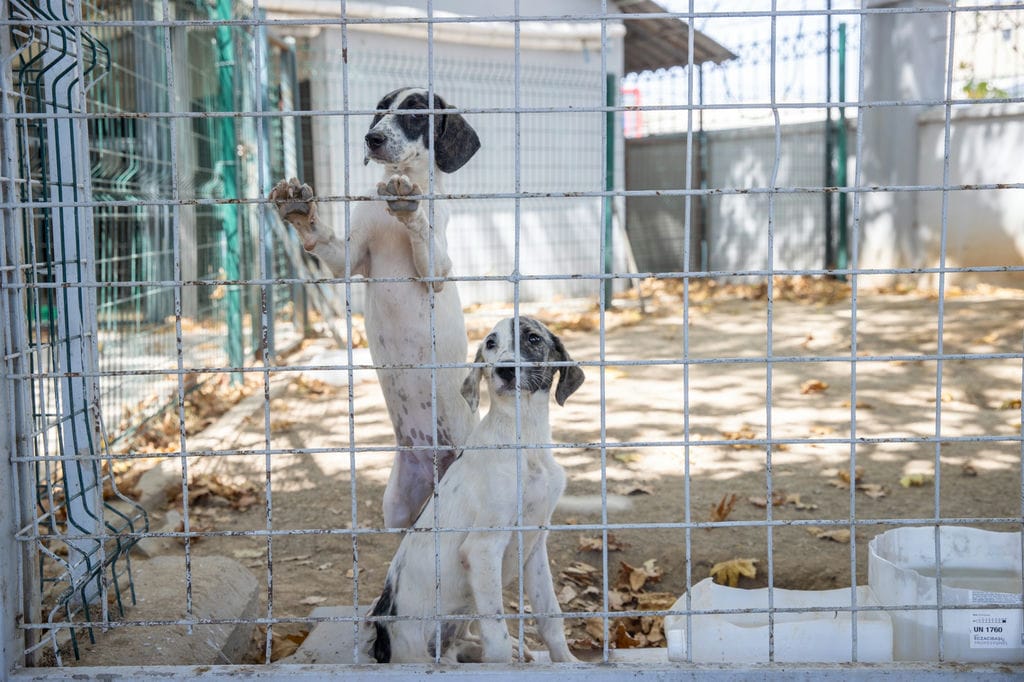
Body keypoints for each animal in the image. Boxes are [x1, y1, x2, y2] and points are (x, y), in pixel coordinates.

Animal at [270, 89, 481, 524]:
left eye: (416, 112)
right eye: (381, 110)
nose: (372, 138)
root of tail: (435, 463)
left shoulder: (437, 271)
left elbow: (424, 235)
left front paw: (409, 207)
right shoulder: (347, 259)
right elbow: (323, 240)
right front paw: (299, 210)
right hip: (397, 505)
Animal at [370, 315, 589, 659]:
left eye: (533, 339)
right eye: (491, 343)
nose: (505, 370)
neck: (524, 436)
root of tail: (380, 642)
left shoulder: (536, 544)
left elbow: (551, 616)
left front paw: (566, 661)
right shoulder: (483, 547)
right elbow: (497, 635)